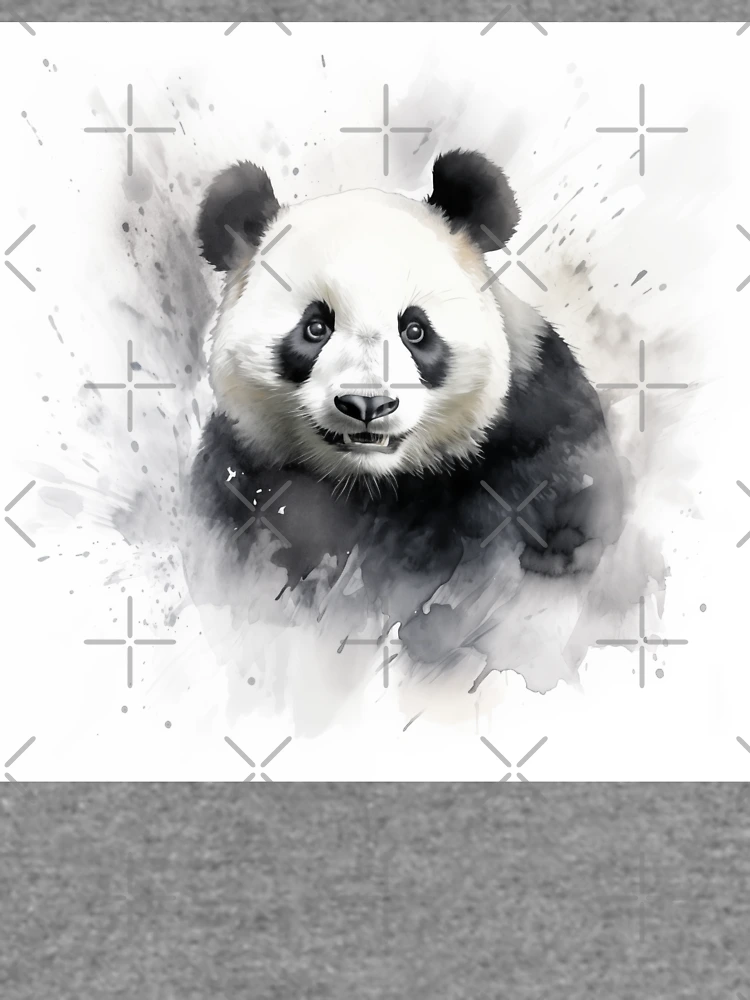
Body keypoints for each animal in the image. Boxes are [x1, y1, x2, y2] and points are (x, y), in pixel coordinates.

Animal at [190, 149, 624, 662]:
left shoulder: (532, 422)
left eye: (415, 330)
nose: (367, 404)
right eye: (315, 328)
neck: (373, 483)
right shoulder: (247, 475)